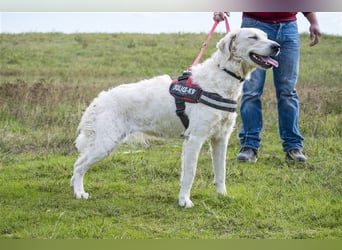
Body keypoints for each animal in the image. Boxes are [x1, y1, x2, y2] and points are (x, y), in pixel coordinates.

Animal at [71, 26, 280, 207]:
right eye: (253, 37)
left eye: (266, 36)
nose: (277, 47)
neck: (222, 78)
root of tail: (99, 99)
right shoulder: (194, 138)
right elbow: (190, 173)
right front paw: (184, 200)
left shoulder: (221, 138)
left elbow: (221, 171)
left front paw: (222, 196)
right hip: (104, 144)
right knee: (78, 166)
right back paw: (80, 193)